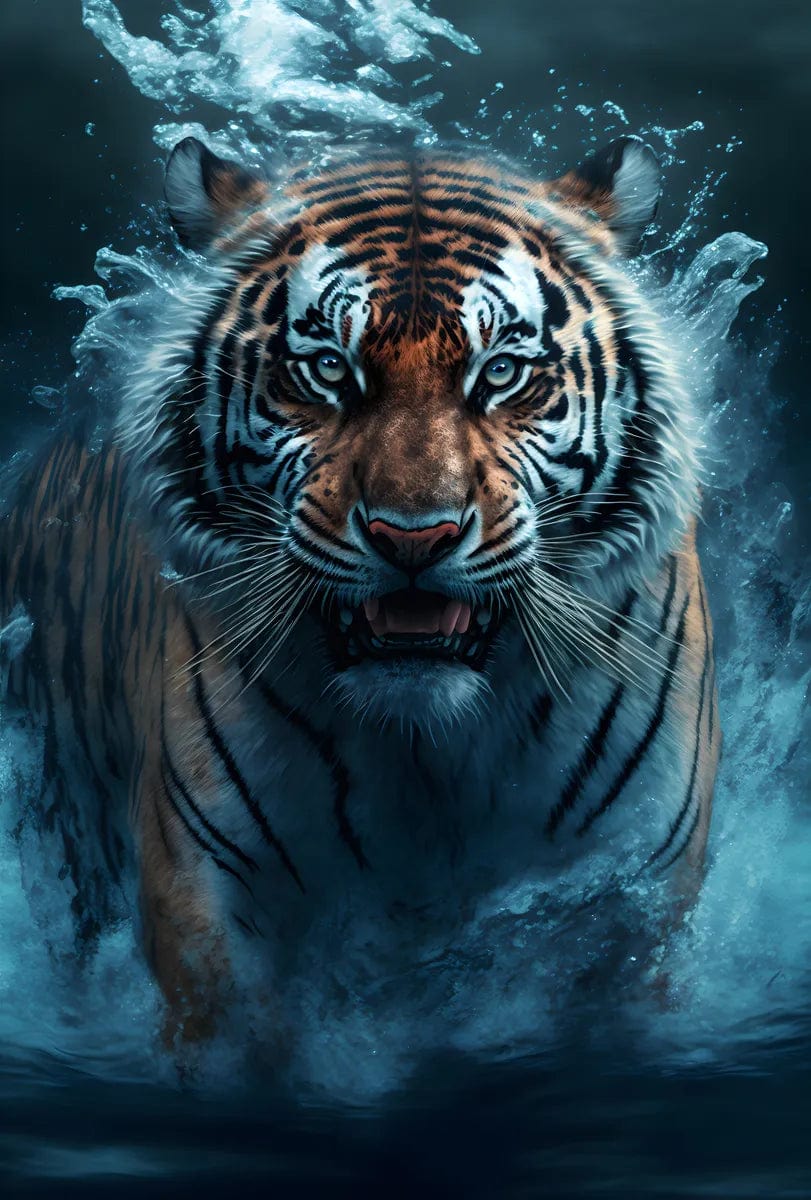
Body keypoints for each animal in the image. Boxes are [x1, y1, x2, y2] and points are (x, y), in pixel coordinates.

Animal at [0, 133, 720, 1044]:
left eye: (501, 372)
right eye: (324, 370)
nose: (413, 536)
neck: (427, 751)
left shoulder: (635, 882)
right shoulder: (204, 888)